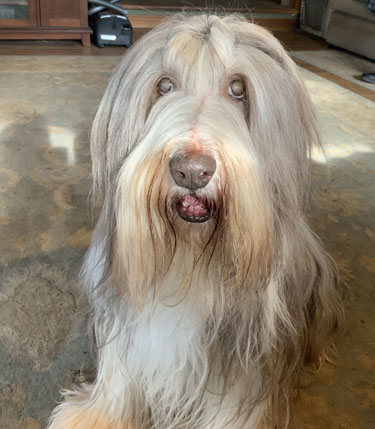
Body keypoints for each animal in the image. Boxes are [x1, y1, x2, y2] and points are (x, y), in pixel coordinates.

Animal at [49, 13, 344, 428]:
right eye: (164, 85)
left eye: (238, 89)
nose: (191, 171)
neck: (189, 257)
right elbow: (121, 364)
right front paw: (97, 414)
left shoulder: (243, 349)